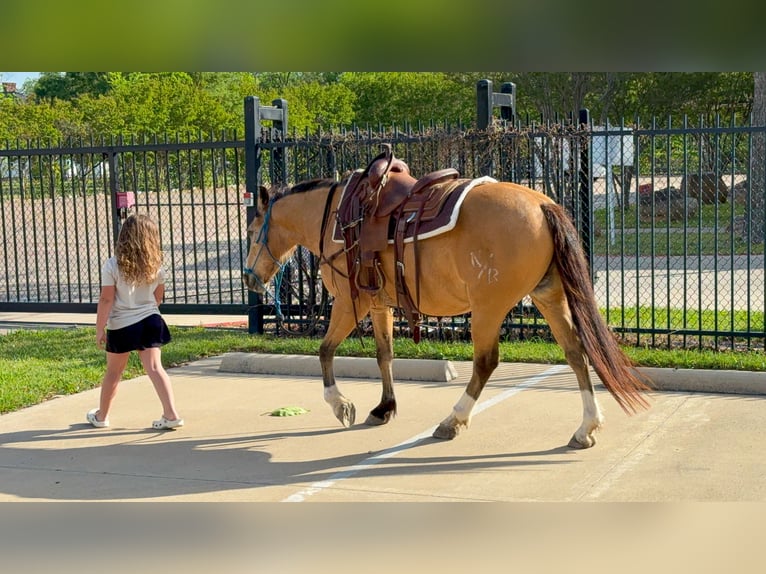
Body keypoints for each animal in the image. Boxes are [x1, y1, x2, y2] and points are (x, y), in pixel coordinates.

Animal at [242, 159, 651, 449]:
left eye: (251, 231)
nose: (249, 278)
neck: (335, 218)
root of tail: (541, 203)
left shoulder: (347, 303)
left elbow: (325, 350)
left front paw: (340, 404)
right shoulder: (379, 304)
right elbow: (384, 355)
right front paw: (384, 408)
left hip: (488, 308)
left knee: (486, 363)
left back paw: (452, 420)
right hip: (548, 296)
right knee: (575, 352)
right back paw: (586, 428)